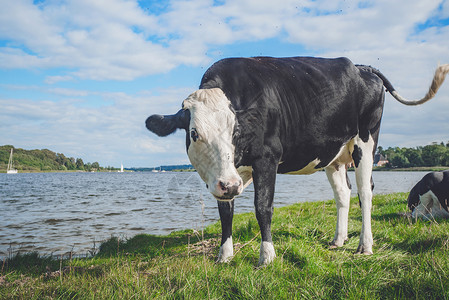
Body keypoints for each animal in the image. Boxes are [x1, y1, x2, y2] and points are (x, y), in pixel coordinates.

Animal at [145, 57, 446, 266]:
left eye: (236, 131)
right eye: (194, 134)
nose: (229, 185)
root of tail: (362, 67)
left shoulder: (267, 158)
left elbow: (262, 208)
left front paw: (266, 257)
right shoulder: (224, 176)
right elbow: (225, 213)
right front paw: (224, 255)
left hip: (366, 140)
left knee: (365, 192)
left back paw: (365, 245)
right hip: (334, 156)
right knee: (343, 193)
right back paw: (338, 240)